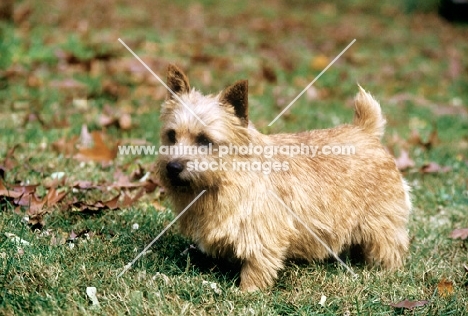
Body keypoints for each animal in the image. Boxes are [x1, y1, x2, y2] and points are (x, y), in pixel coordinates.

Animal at [156, 64, 410, 292]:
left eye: (205, 140)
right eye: (171, 135)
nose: (173, 166)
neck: (225, 179)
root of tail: (366, 131)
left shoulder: (263, 234)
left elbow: (257, 265)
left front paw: (247, 292)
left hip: (382, 221)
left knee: (391, 247)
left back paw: (384, 272)